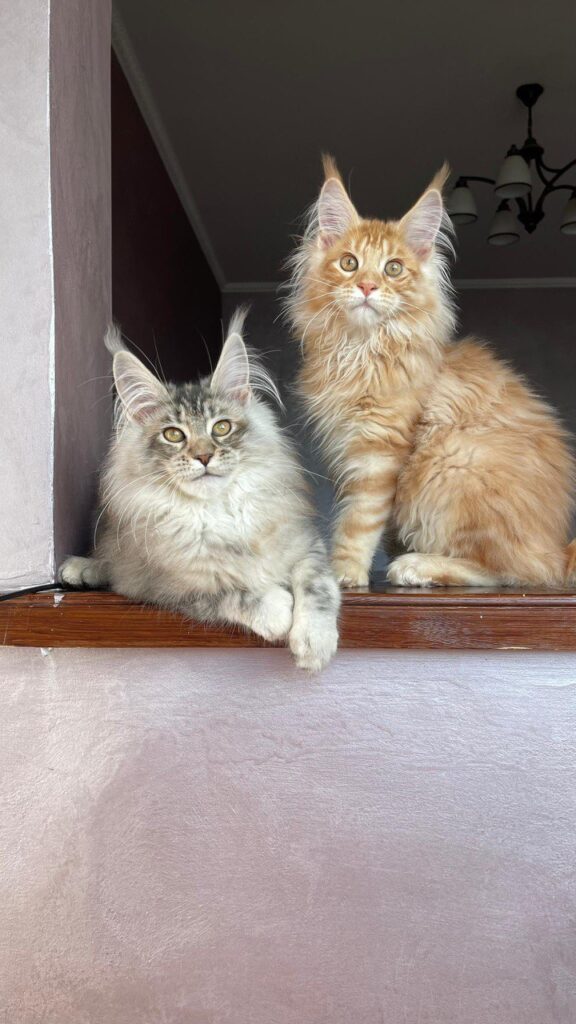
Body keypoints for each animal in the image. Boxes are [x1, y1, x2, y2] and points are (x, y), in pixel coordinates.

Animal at [59, 311, 336, 671]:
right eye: (174, 435)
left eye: (222, 427)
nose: (204, 456)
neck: (219, 512)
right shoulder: (166, 586)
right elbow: (234, 593)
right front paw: (277, 610)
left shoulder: (306, 545)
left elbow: (318, 588)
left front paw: (314, 644)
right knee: (108, 561)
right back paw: (80, 569)